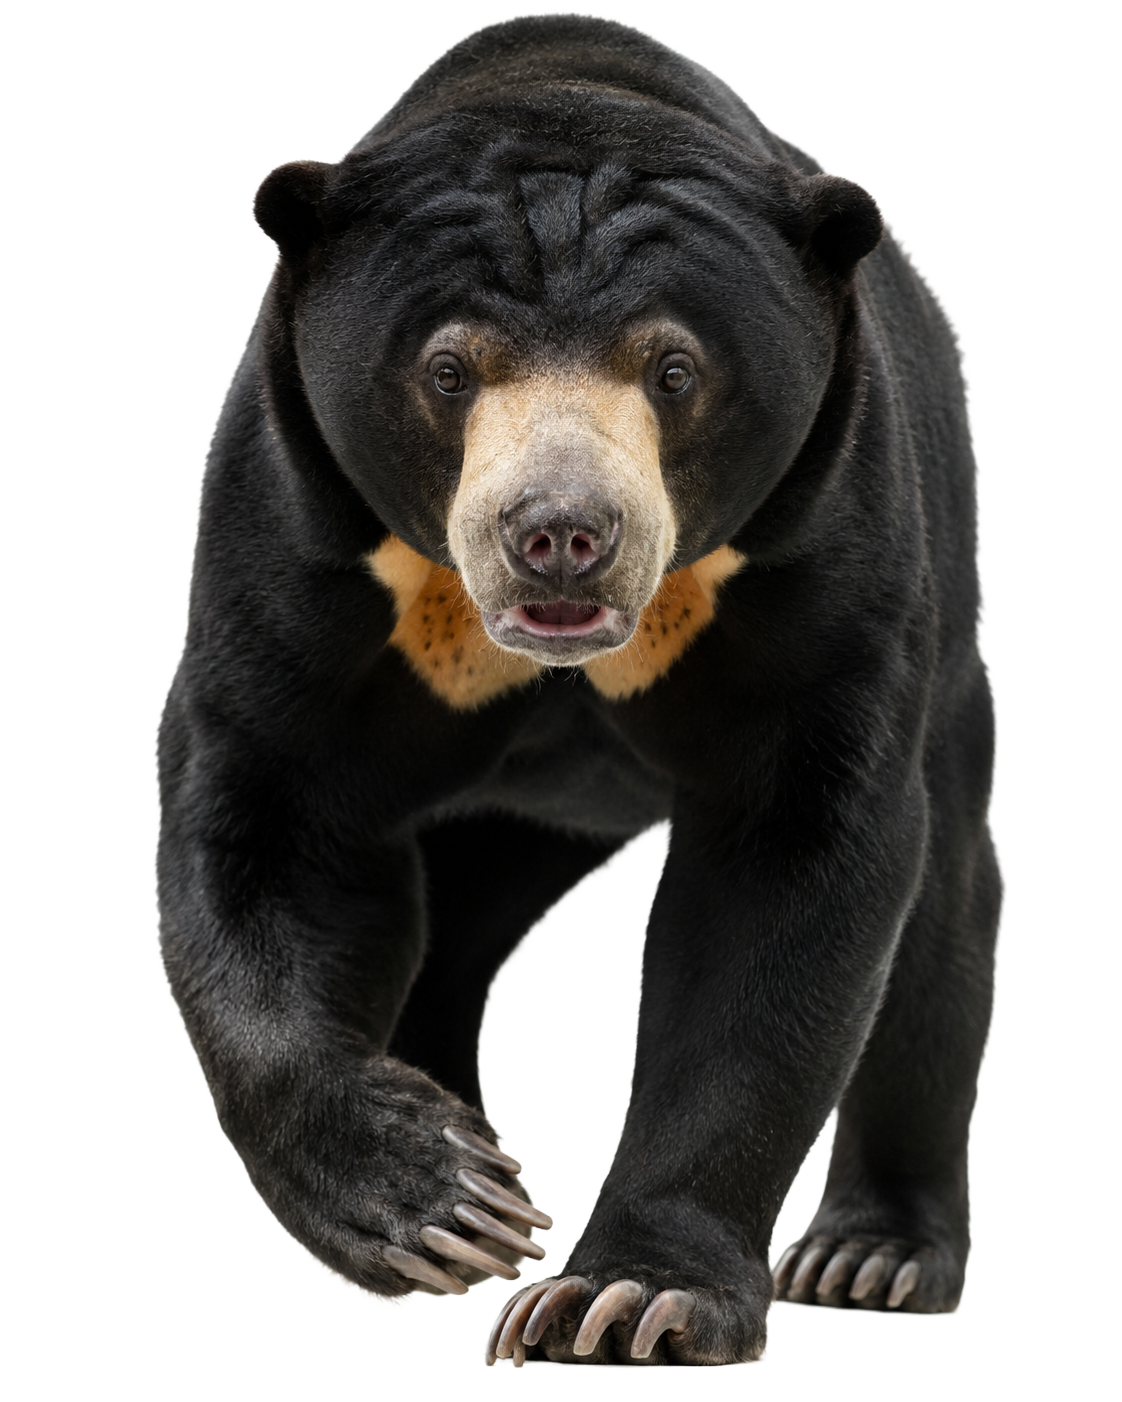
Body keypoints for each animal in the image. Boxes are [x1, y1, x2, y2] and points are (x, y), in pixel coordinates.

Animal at [157, 13, 1001, 1367]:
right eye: (448, 368)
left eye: (674, 368)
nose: (560, 534)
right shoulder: (294, 536)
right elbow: (262, 814)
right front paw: (438, 1201)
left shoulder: (823, 550)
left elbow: (792, 875)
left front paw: (625, 1299)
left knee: (946, 905)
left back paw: (874, 1252)